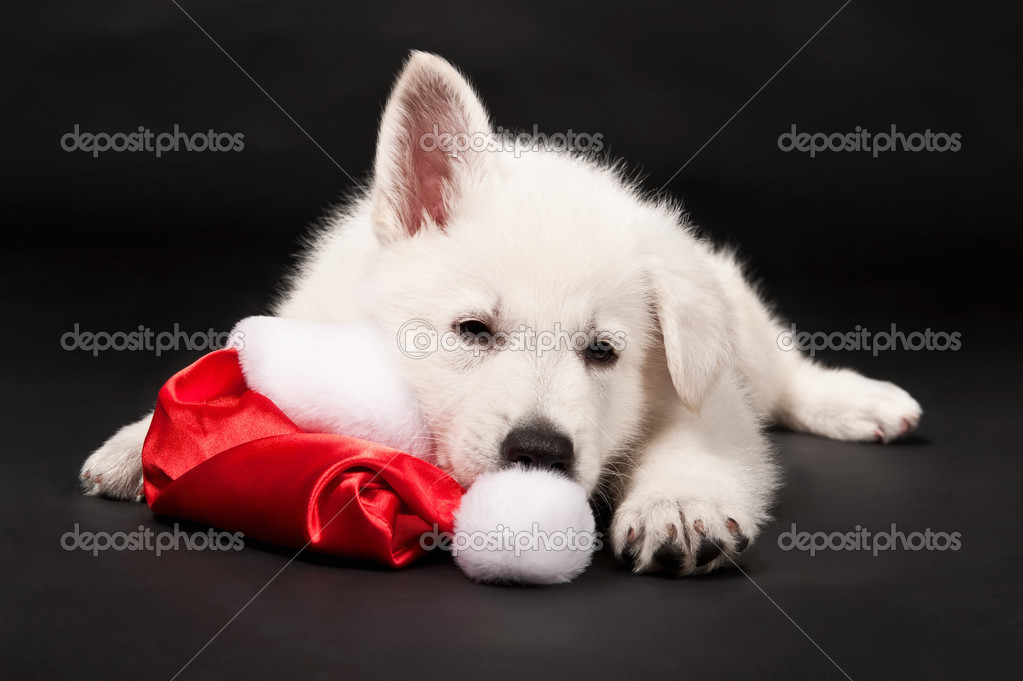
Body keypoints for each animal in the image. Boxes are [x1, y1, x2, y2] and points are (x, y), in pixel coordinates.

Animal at [83, 51, 924, 572]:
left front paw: (678, 504)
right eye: (472, 331)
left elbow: (696, 443)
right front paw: (139, 442)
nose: (539, 451)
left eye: (603, 351)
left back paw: (860, 401)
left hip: (730, 324)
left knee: (783, 374)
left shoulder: (702, 393)